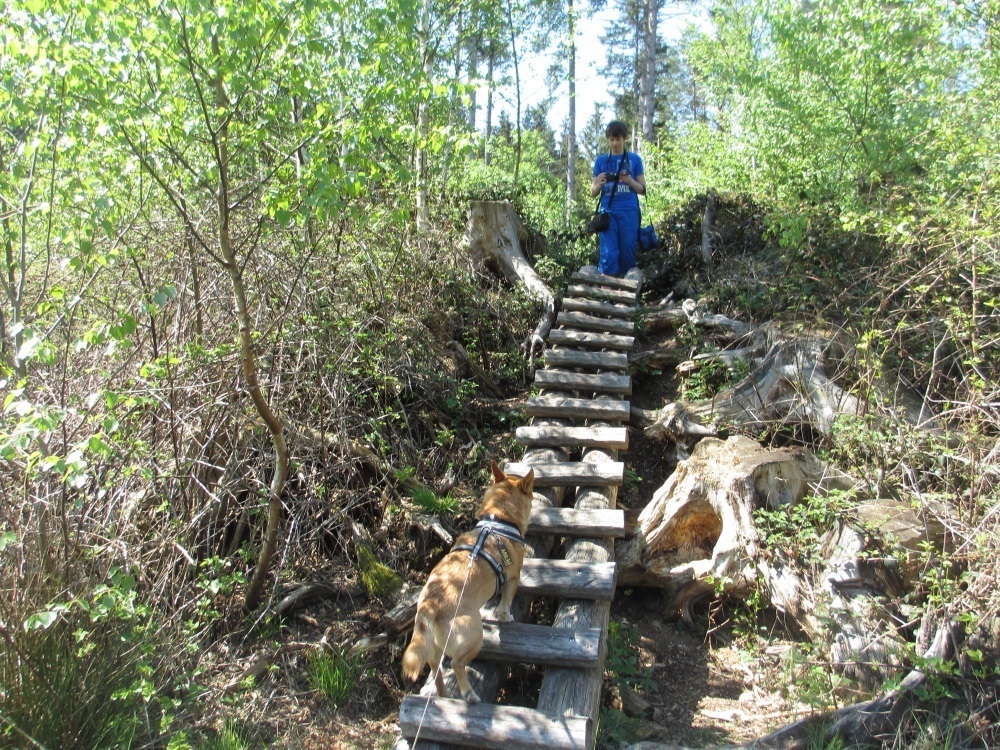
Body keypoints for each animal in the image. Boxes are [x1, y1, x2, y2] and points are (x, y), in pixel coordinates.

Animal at [402, 464, 536, 704]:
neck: (498, 518)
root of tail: (430, 604)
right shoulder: (514, 578)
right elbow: (506, 602)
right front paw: (506, 616)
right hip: (474, 636)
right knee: (457, 663)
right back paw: (469, 695)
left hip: (434, 650)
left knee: (436, 672)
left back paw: (443, 696)